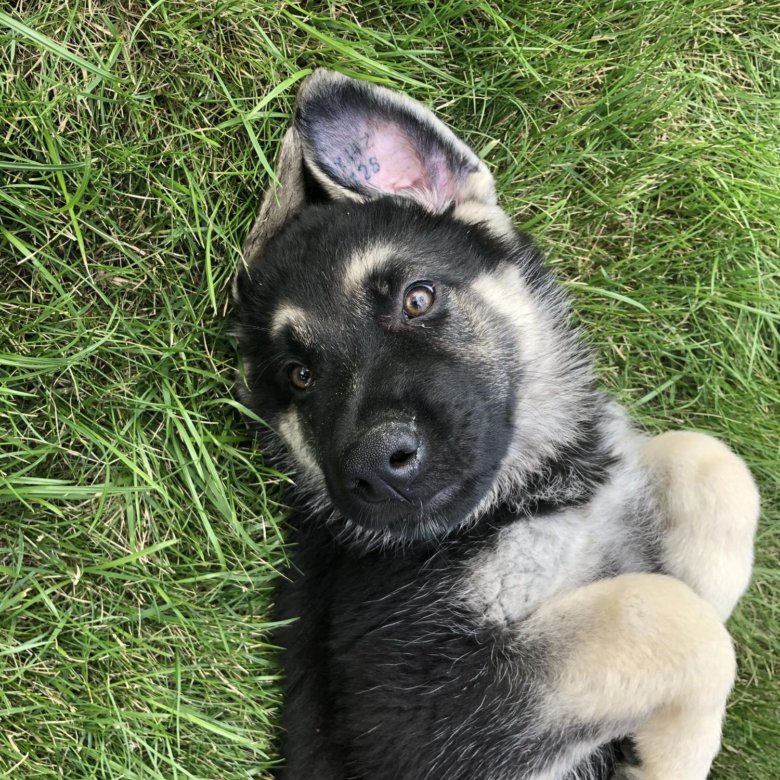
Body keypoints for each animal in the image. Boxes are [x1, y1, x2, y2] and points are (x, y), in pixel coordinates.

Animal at [233, 70, 760, 776]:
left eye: (417, 298)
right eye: (299, 376)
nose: (377, 467)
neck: (520, 497)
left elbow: (711, 463)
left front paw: (703, 578)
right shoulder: (414, 707)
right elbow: (665, 616)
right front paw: (670, 754)